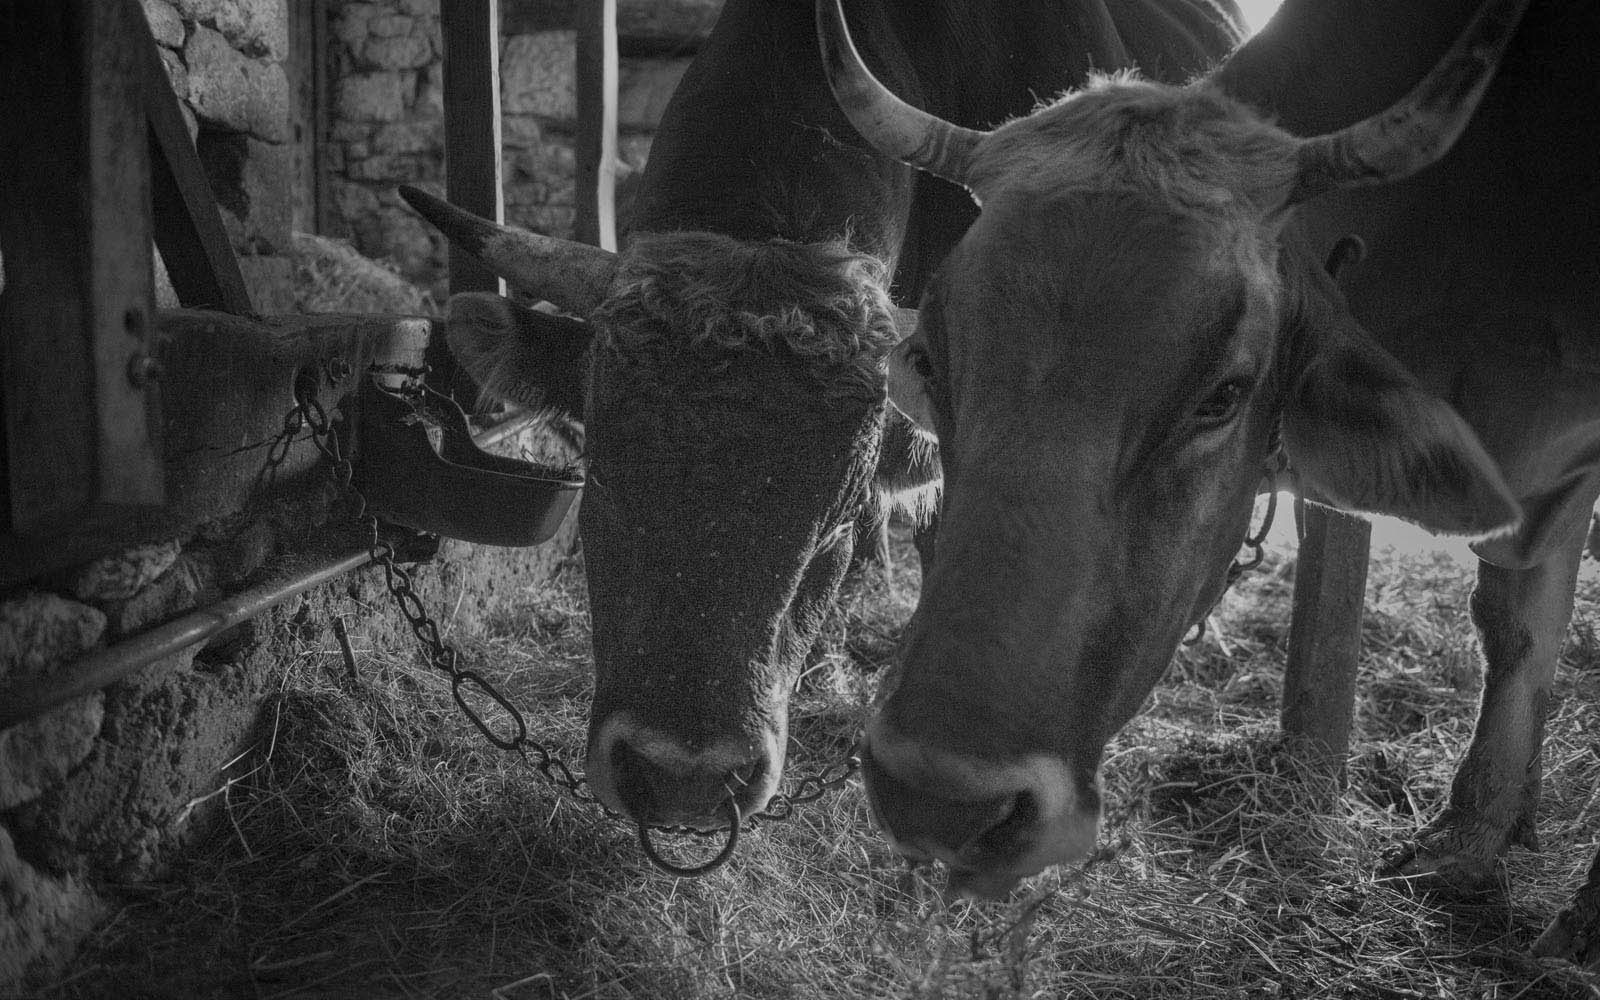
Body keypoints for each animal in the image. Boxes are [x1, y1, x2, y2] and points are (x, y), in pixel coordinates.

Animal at [819, 0, 1600, 960]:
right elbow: (1514, 623)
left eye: (1223, 395)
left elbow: (1522, 623)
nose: (936, 800)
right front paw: (1476, 834)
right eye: (930, 360)